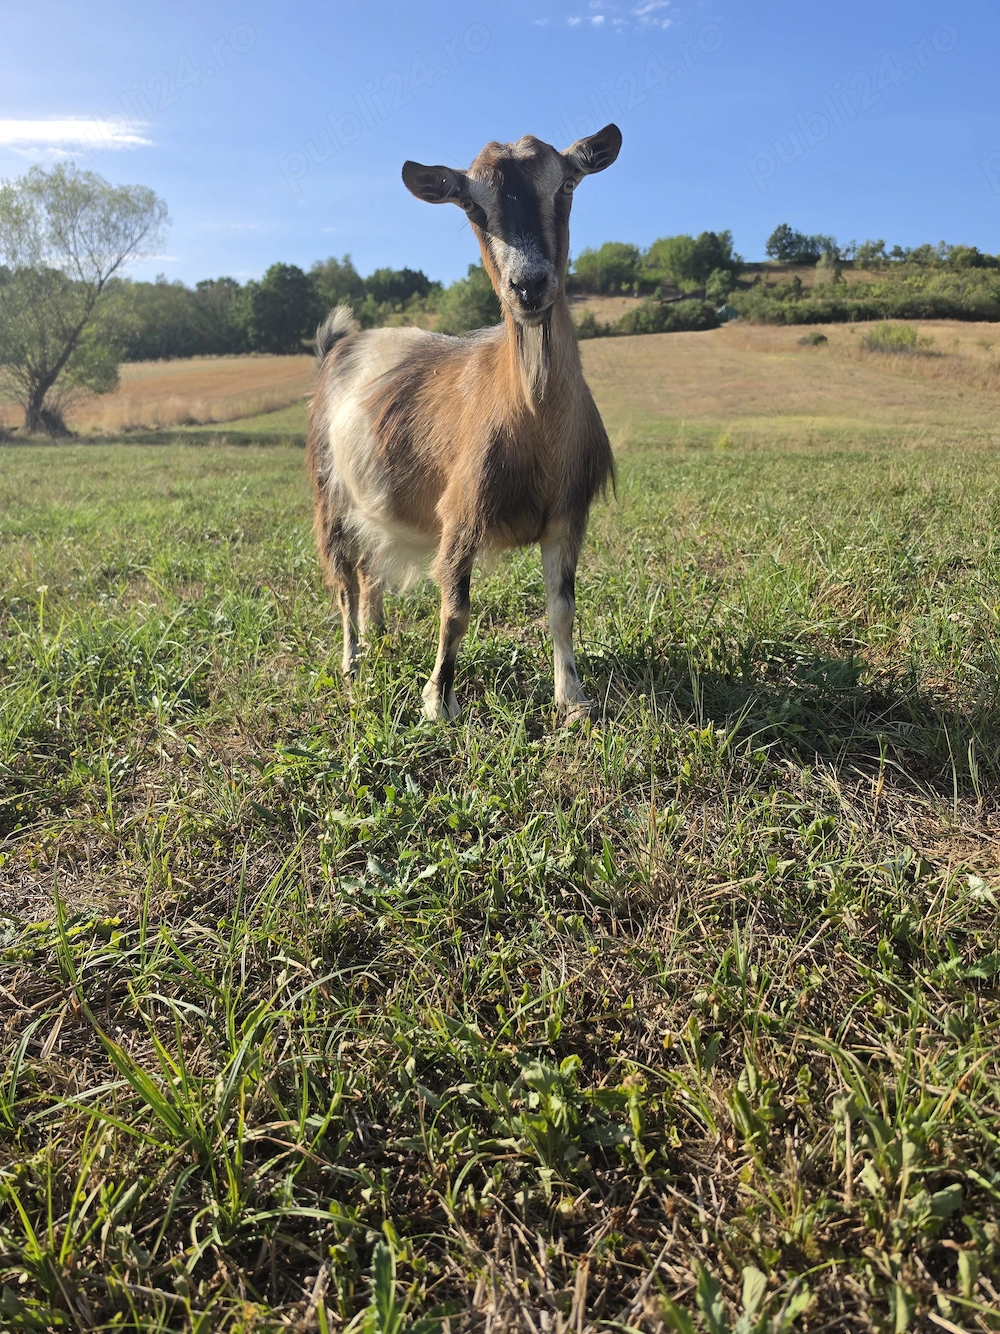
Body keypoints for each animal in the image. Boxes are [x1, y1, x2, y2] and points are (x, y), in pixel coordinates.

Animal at [306, 123, 622, 720]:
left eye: (566, 183)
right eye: (472, 205)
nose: (529, 285)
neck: (533, 420)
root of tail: (338, 345)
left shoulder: (567, 514)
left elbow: (562, 607)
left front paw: (573, 701)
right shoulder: (460, 512)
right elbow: (455, 610)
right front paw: (439, 702)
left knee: (369, 570)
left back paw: (380, 640)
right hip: (329, 491)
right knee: (343, 579)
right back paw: (353, 662)